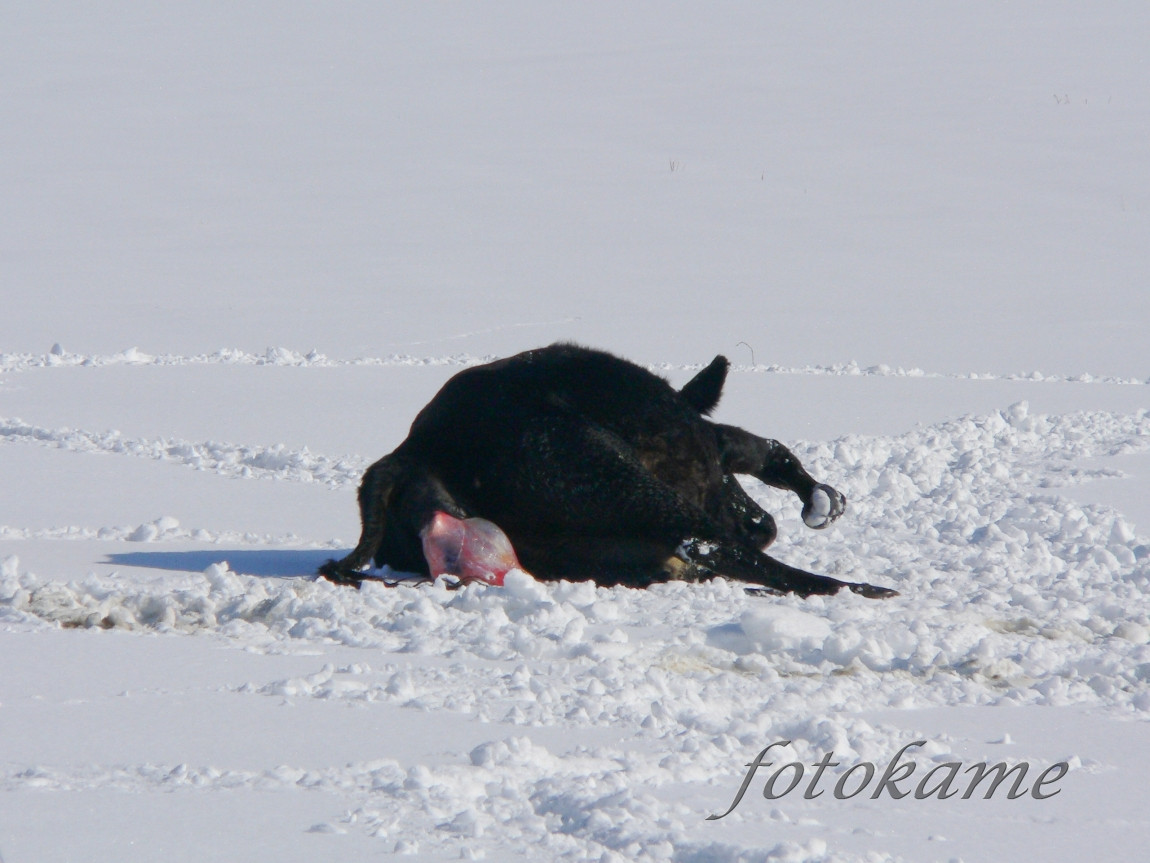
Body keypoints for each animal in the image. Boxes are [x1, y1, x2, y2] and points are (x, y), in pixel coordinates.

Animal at [322, 345, 897, 602]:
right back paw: (860, 588)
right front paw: (817, 502)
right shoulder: (708, 445)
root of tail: (416, 448)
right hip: (608, 477)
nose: (763, 524)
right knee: (713, 543)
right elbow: (765, 452)